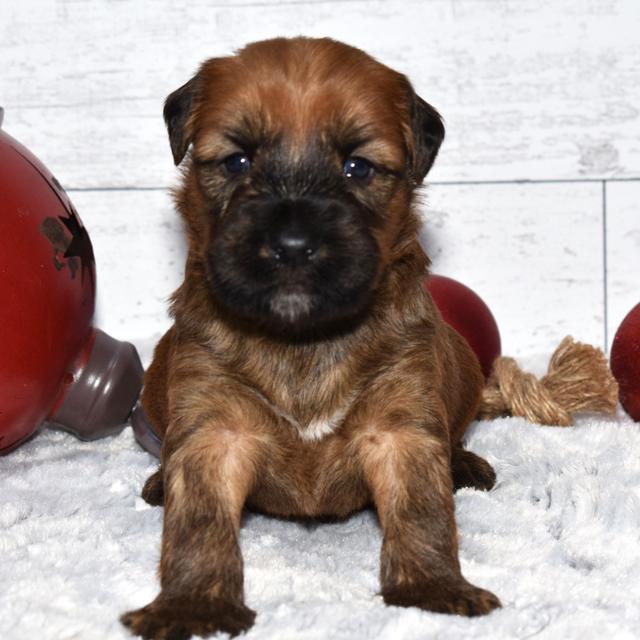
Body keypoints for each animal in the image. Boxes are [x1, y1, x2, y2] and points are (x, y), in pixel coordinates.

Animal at [120, 37, 500, 636]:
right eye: (238, 160)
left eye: (357, 167)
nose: (293, 246)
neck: (302, 340)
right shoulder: (215, 430)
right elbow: (198, 522)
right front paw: (193, 604)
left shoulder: (401, 429)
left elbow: (423, 511)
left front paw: (433, 589)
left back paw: (463, 463)